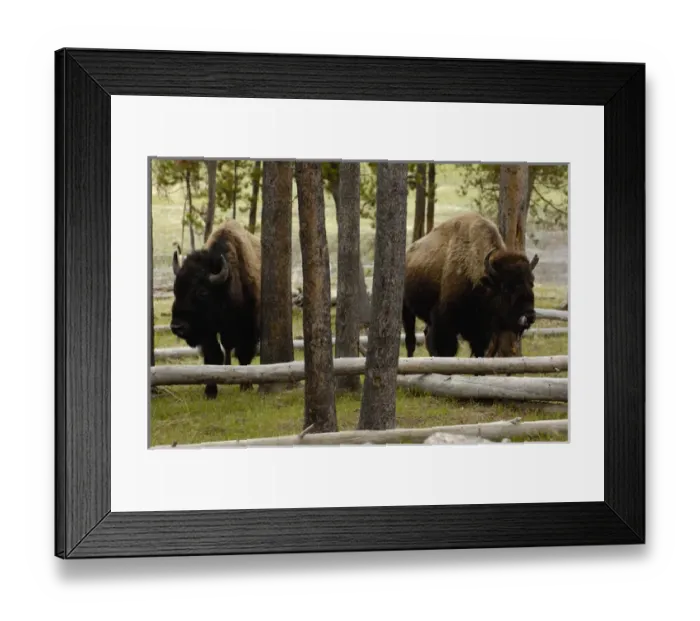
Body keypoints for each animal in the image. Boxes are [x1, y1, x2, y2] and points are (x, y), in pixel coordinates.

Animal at [170, 219, 262, 398]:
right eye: (175, 289)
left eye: (202, 292)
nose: (177, 327)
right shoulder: (207, 332)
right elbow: (213, 356)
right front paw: (210, 392)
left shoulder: (249, 328)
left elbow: (244, 354)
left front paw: (246, 386)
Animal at [402, 212, 539, 358]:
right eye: (506, 287)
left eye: (531, 283)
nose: (529, 316)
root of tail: (408, 253)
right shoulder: (444, 323)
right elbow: (446, 350)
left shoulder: (482, 332)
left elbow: (479, 352)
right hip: (406, 309)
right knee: (411, 340)